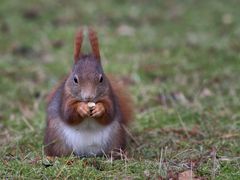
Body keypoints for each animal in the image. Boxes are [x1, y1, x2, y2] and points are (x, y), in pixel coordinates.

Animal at [44, 27, 134, 157]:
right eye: (75, 79)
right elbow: (67, 113)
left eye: (101, 78)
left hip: (116, 138)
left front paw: (100, 108)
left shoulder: (109, 96)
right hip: (56, 138)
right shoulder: (65, 98)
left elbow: (109, 112)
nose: (89, 97)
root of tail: (87, 153)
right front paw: (81, 108)